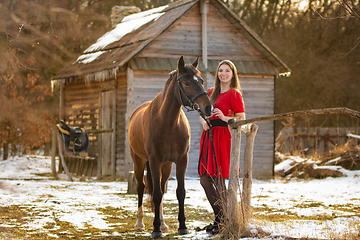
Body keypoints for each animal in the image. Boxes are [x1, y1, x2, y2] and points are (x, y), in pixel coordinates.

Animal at [129, 56, 212, 238]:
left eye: (201, 80)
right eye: (186, 83)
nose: (208, 107)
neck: (169, 122)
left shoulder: (181, 161)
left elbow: (179, 193)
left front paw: (182, 226)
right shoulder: (154, 161)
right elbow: (155, 194)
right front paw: (155, 230)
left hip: (166, 166)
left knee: (161, 187)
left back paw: (164, 224)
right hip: (139, 161)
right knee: (141, 188)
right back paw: (139, 223)